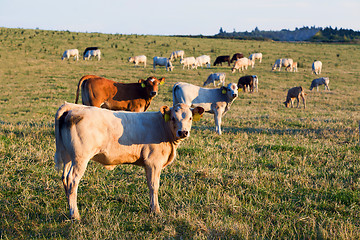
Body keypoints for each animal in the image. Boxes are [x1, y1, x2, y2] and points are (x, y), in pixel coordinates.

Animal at [54, 101, 204, 219]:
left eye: (190, 118)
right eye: (173, 118)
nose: (183, 132)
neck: (162, 126)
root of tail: (73, 107)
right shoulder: (153, 162)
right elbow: (153, 186)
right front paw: (155, 210)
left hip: (68, 156)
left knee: (65, 178)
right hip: (80, 158)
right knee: (72, 180)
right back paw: (75, 215)